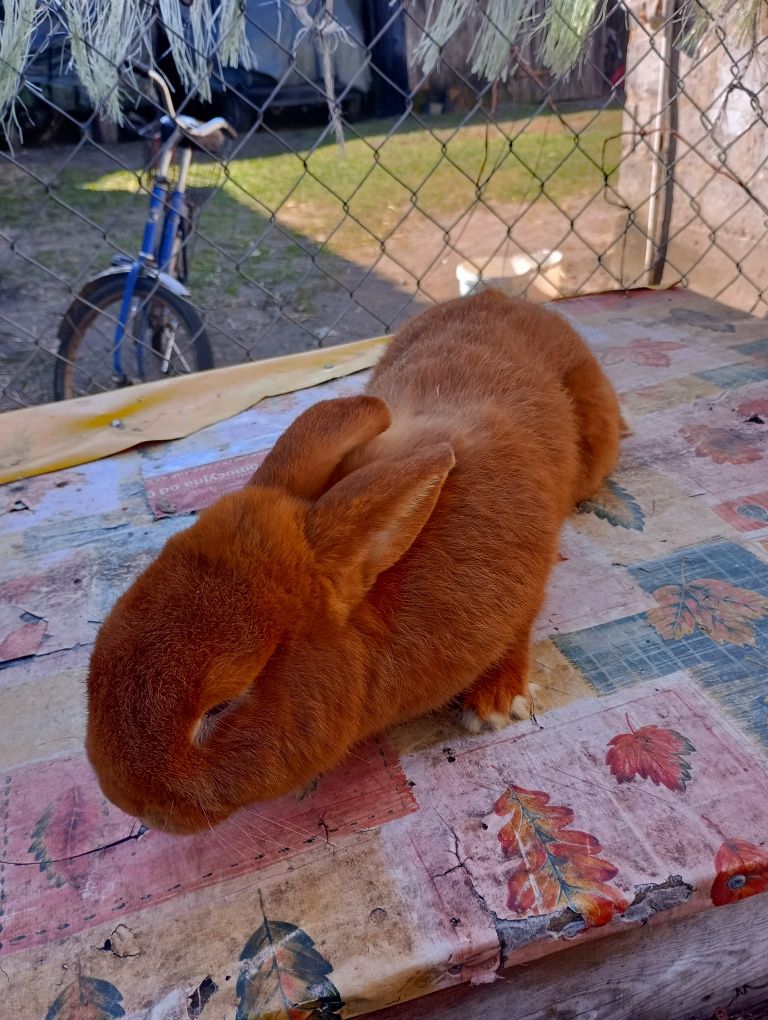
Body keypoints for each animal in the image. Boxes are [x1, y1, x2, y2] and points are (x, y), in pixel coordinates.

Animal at [86, 291, 620, 832]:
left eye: (221, 705)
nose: (126, 800)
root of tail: (509, 299)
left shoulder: (526, 578)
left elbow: (521, 628)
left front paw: (494, 704)